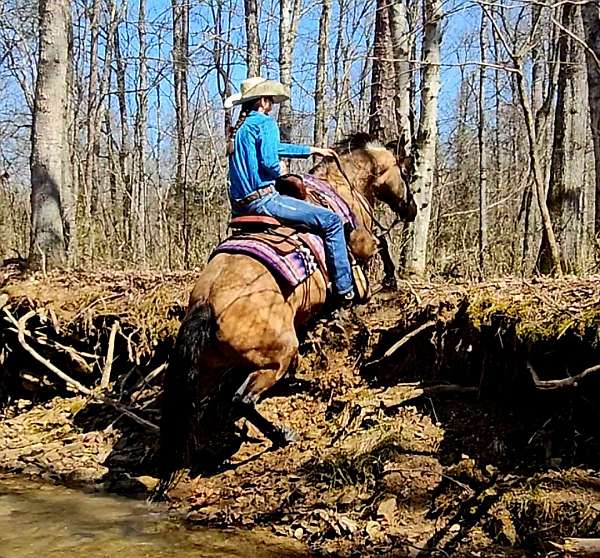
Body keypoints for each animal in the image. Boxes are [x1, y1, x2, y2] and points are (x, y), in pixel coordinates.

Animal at [157, 133, 414, 488]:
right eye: (405, 171)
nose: (412, 209)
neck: (341, 187)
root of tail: (206, 303)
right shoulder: (361, 242)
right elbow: (382, 245)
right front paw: (386, 280)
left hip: (209, 370)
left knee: (200, 408)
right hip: (277, 356)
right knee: (242, 400)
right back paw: (281, 435)